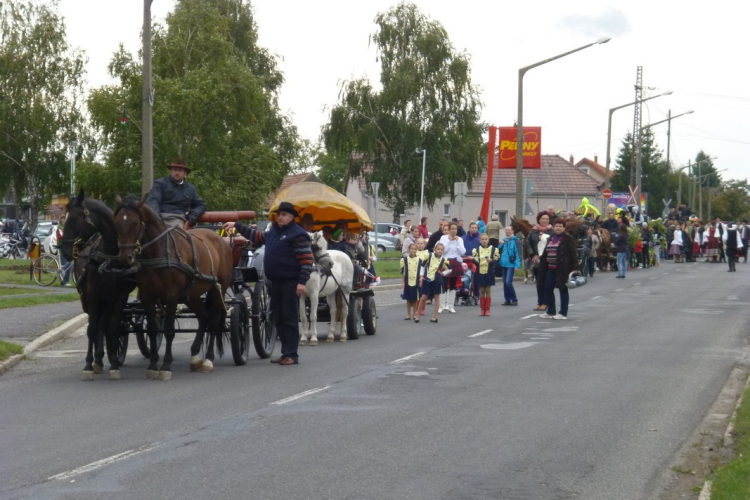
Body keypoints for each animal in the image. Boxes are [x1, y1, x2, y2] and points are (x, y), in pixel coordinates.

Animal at [59, 189, 137, 380]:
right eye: (64, 217)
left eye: (74, 219)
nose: (65, 251)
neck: (111, 257)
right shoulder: (92, 293)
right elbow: (92, 328)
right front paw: (88, 365)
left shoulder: (118, 296)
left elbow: (112, 327)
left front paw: (114, 364)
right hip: (87, 299)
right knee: (95, 324)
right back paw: (97, 360)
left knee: (104, 323)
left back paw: (103, 358)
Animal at [113, 199, 232, 378]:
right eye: (117, 222)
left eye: (135, 222)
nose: (124, 258)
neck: (159, 252)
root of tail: (218, 237)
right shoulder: (147, 296)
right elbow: (153, 330)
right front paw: (153, 365)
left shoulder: (171, 296)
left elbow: (169, 330)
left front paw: (166, 366)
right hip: (191, 295)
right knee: (204, 317)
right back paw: (195, 356)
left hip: (218, 289)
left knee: (215, 321)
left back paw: (208, 360)